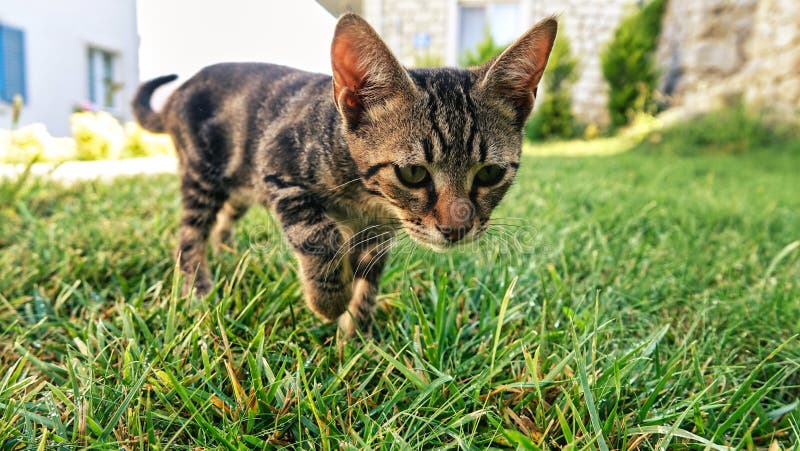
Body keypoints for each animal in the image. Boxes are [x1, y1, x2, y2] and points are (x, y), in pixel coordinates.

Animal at [133, 13, 556, 336]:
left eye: (489, 173)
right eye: (413, 173)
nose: (456, 229)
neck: (365, 198)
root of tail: (180, 90)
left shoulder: (378, 230)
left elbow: (368, 278)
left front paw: (356, 337)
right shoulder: (277, 169)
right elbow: (321, 236)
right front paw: (329, 300)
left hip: (239, 184)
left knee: (223, 219)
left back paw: (229, 251)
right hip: (203, 174)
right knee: (190, 236)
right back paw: (196, 288)